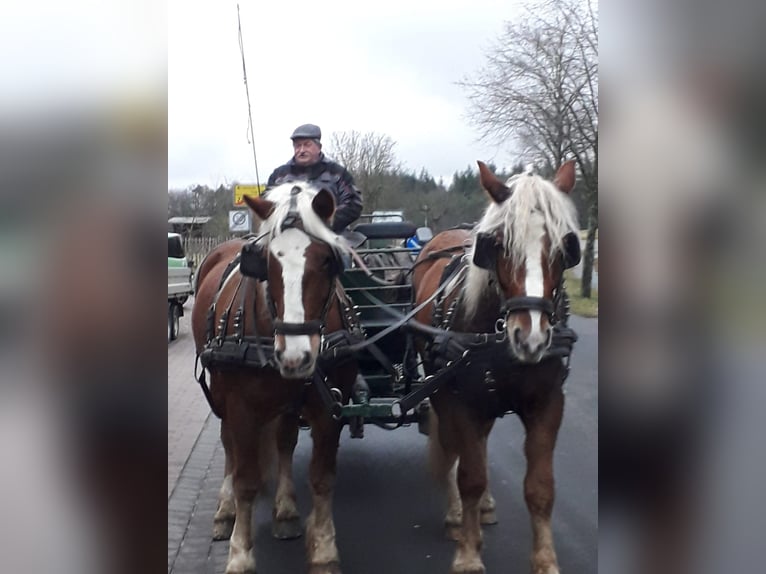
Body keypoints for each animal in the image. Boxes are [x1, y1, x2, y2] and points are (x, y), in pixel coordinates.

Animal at [192, 183, 360, 574]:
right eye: (267, 262)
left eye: (326, 260)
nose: (295, 356)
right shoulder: (240, 407)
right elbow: (246, 480)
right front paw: (240, 554)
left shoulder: (331, 406)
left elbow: (322, 477)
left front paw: (324, 551)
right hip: (222, 397)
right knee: (229, 447)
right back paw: (225, 512)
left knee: (284, 442)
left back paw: (285, 511)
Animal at [414, 161, 584, 574]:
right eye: (499, 246)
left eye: (564, 247)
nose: (531, 337)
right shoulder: (462, 402)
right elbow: (469, 475)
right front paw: (468, 553)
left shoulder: (547, 403)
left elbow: (540, 487)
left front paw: (545, 561)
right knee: (455, 450)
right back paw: (458, 516)